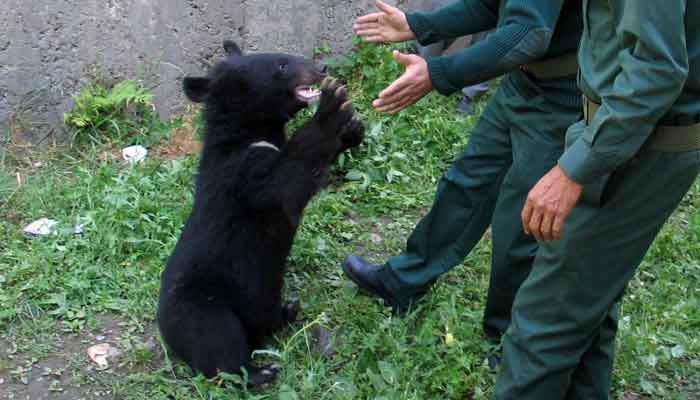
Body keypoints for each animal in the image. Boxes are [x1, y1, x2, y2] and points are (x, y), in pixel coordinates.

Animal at [157, 40, 366, 384]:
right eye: (281, 65)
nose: (322, 68)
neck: (251, 132)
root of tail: (165, 332)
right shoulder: (242, 174)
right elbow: (285, 186)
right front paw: (333, 106)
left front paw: (352, 128)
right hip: (202, 306)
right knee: (219, 343)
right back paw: (260, 372)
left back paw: (288, 311)